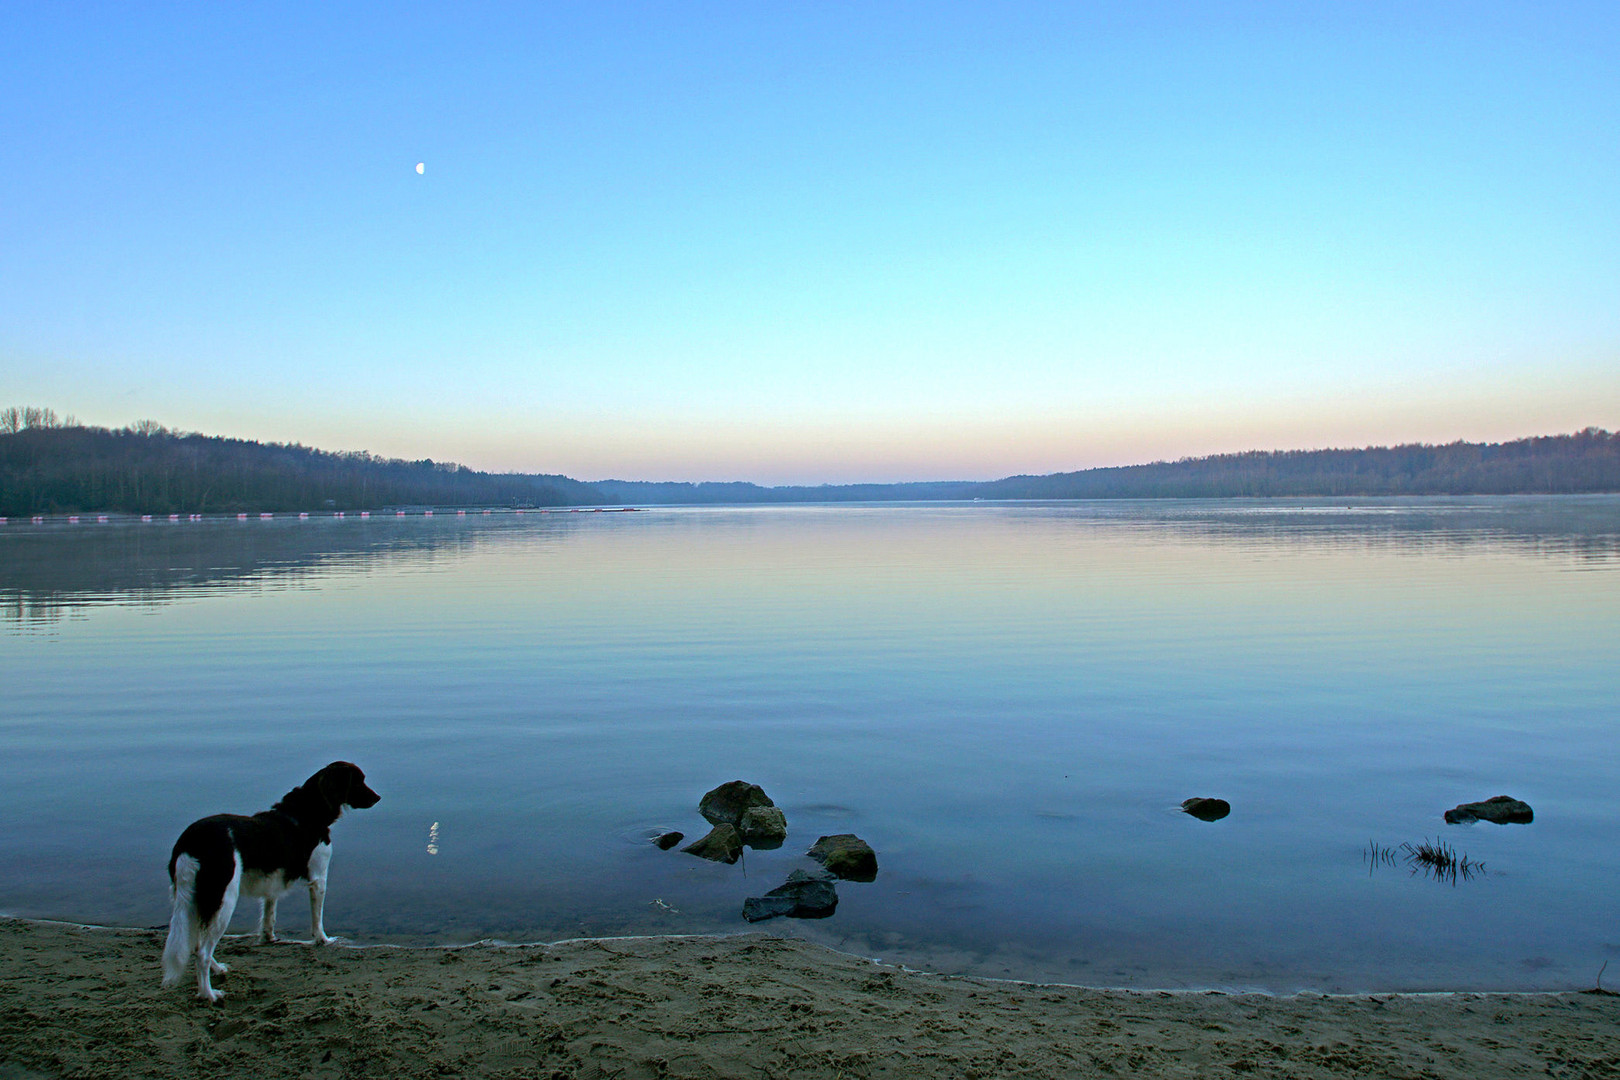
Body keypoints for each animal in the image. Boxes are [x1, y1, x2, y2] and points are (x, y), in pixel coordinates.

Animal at [162, 761, 380, 1003]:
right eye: (358, 781)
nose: (378, 797)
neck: (306, 813)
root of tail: (190, 842)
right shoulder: (318, 879)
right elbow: (317, 920)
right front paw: (324, 941)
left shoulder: (272, 885)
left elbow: (269, 917)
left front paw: (269, 938)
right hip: (223, 901)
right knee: (202, 952)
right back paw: (208, 994)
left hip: (193, 901)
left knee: (197, 945)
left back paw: (217, 971)